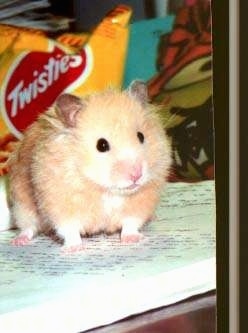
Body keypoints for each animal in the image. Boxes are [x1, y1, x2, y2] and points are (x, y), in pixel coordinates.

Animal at [7, 80, 171, 252]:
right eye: (102, 145)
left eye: (141, 136)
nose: (137, 175)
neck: (103, 188)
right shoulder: (60, 205)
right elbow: (69, 230)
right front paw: (73, 249)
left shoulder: (140, 203)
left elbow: (130, 223)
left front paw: (133, 239)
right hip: (21, 206)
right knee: (28, 226)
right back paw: (18, 242)